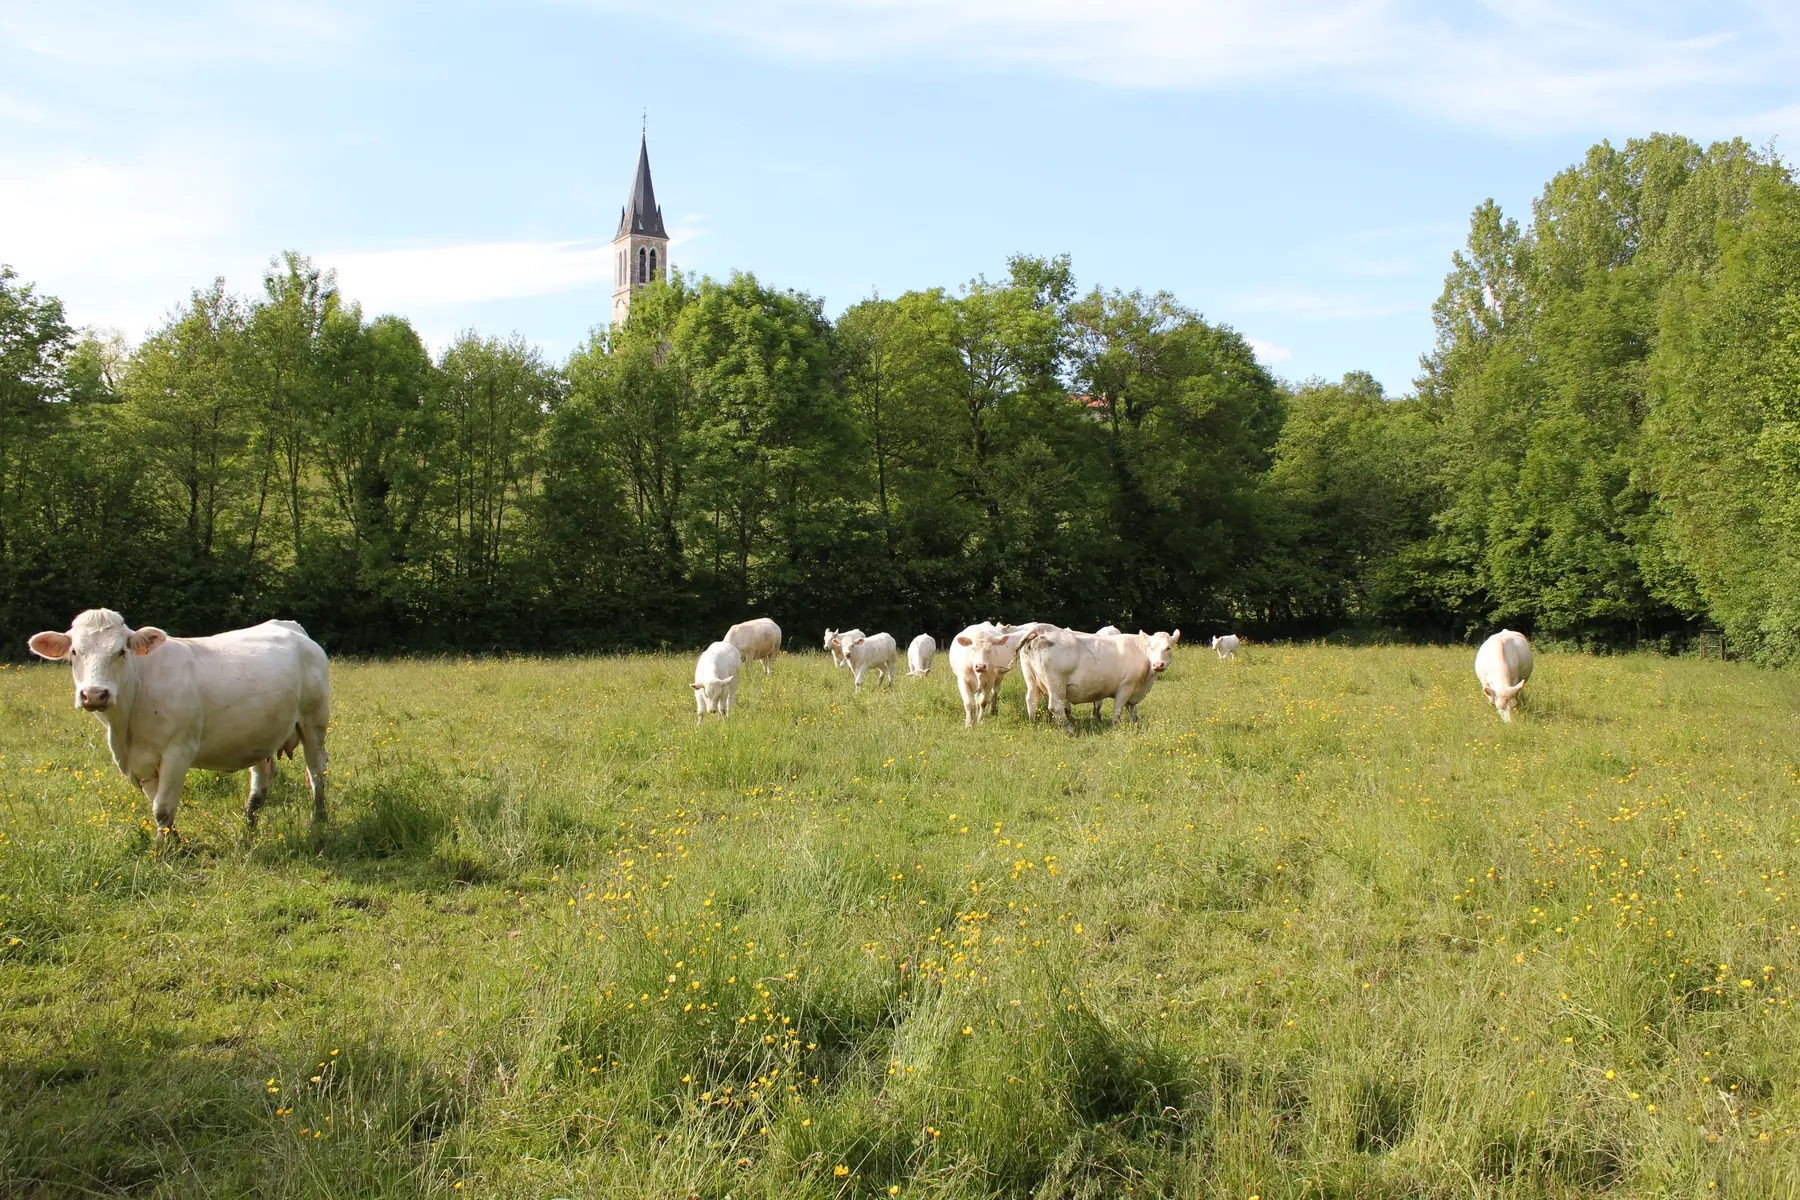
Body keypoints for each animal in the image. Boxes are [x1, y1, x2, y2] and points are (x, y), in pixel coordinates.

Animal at [27, 609, 329, 839]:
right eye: (74, 652)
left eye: (121, 651)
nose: (94, 694)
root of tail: (290, 626)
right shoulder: (140, 764)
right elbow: (158, 807)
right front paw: (173, 842)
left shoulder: (178, 752)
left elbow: (162, 808)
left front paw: (165, 852)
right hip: (259, 734)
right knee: (262, 780)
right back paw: (249, 826)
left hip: (314, 720)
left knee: (317, 771)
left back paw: (319, 819)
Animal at [1020, 627, 1179, 730]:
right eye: (1151, 647)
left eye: (1168, 648)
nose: (1158, 664)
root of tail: (1041, 634)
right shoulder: (1126, 686)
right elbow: (1118, 708)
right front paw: (1116, 727)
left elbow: (1132, 709)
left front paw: (1137, 725)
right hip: (1055, 684)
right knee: (1055, 706)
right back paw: (1070, 730)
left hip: (1031, 681)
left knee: (1031, 700)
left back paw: (1033, 724)